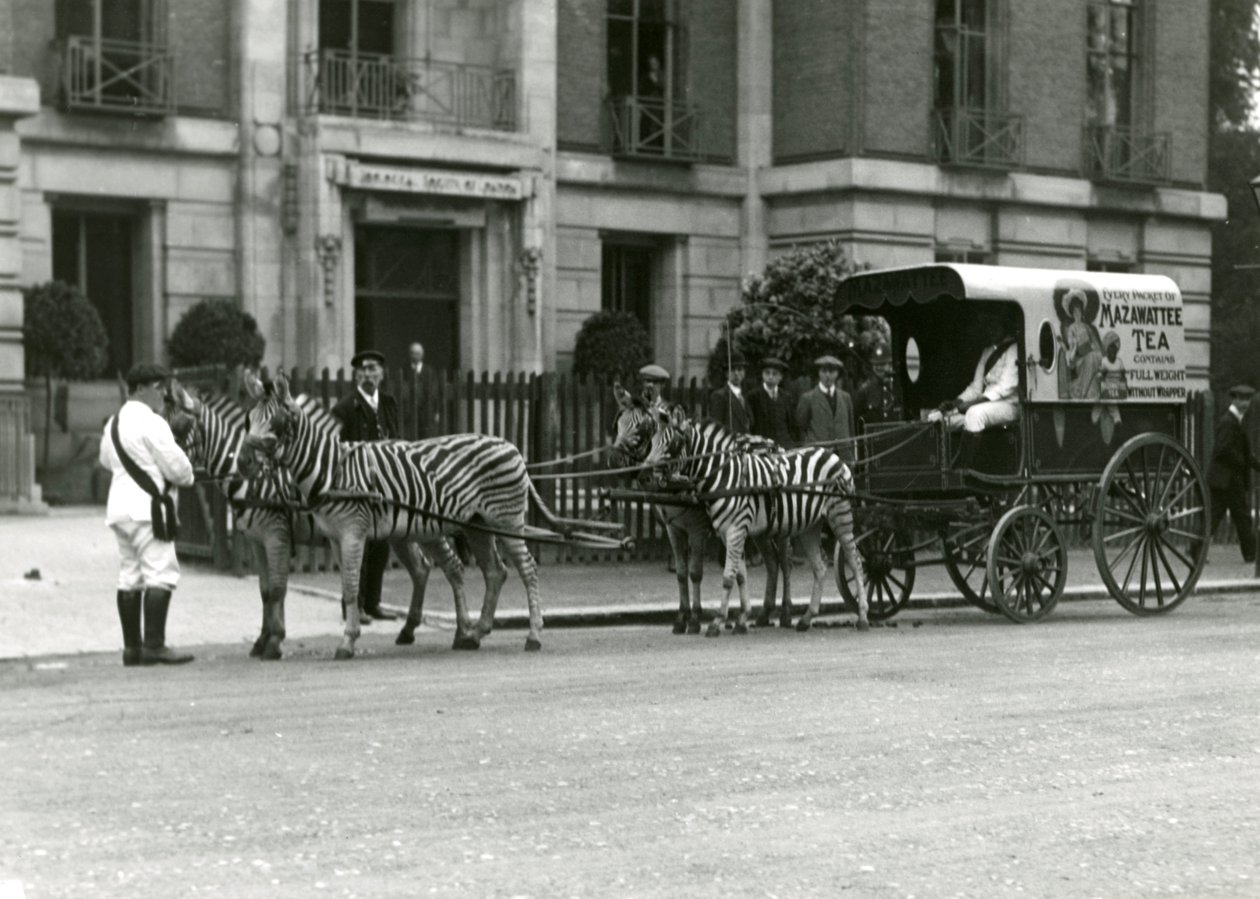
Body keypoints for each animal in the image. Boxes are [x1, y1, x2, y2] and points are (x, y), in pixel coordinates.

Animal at [604, 383, 791, 630]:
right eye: (618, 424)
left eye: (644, 427)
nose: (614, 459)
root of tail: (774, 444)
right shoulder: (673, 529)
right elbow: (681, 573)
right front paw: (682, 617)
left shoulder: (697, 529)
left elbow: (695, 573)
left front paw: (694, 619)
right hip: (761, 528)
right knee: (772, 563)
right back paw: (764, 614)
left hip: (782, 525)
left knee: (785, 563)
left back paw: (784, 613)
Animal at [645, 403, 871, 635]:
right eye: (651, 440)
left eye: (673, 444)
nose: (646, 474)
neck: (722, 475)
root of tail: (832, 454)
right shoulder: (721, 531)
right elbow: (737, 575)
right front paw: (740, 619)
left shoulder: (725, 529)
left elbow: (724, 577)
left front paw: (715, 622)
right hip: (809, 525)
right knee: (818, 566)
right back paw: (804, 618)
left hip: (839, 515)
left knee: (853, 561)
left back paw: (862, 616)